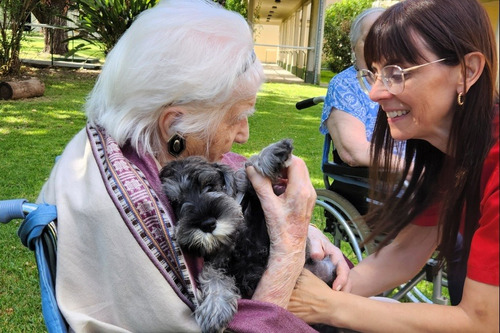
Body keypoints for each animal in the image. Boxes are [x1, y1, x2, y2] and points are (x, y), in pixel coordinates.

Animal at [161, 139, 336, 330]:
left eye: (209, 186)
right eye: (176, 202)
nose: (207, 224)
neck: (235, 236)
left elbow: (248, 170)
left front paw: (271, 154)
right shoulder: (216, 261)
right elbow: (210, 274)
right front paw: (214, 307)